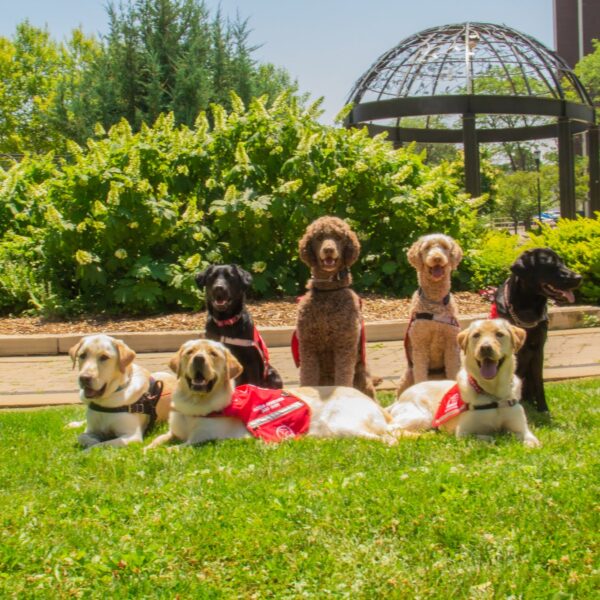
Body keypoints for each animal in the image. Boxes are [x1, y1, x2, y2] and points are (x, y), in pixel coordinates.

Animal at [492, 248, 580, 412]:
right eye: (550, 264)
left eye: (562, 261)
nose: (579, 277)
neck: (528, 307)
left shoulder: (539, 348)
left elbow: (539, 381)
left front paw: (543, 408)